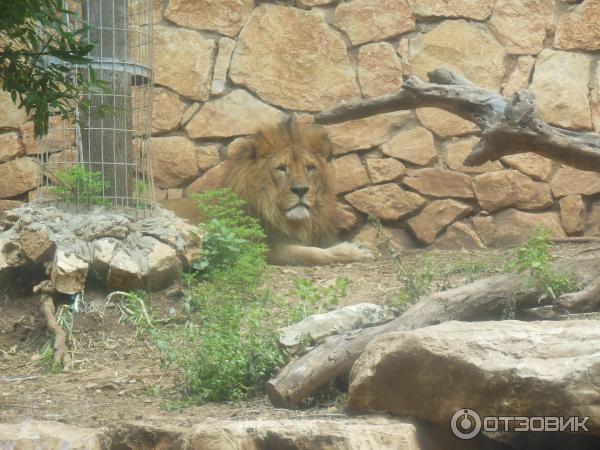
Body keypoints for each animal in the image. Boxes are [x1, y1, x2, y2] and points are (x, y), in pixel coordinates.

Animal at [226, 119, 370, 266]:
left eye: (310, 168)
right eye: (281, 168)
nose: (300, 190)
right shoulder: (262, 249)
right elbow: (308, 253)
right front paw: (354, 251)